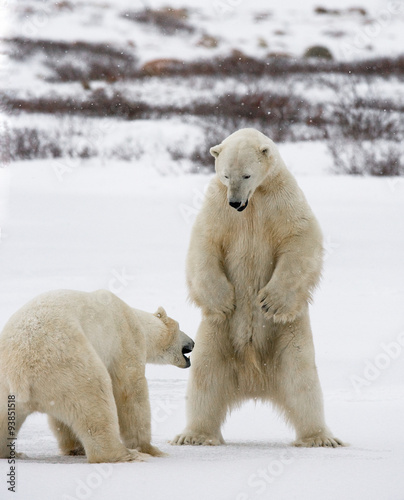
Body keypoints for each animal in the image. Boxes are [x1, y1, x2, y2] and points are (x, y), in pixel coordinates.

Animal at [0, 292, 194, 462]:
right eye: (180, 327)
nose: (193, 342)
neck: (137, 319)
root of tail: (19, 372)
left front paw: (75, 447)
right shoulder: (126, 339)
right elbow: (130, 390)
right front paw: (150, 448)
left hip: (7, 387)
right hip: (67, 366)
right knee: (95, 402)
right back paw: (126, 454)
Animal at [171, 129, 344, 450]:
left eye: (247, 175)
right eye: (226, 175)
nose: (235, 202)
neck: (254, 203)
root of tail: (254, 382)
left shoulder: (283, 200)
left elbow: (300, 238)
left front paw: (269, 301)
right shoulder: (216, 206)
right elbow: (204, 243)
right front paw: (224, 300)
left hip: (289, 335)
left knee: (303, 382)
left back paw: (320, 438)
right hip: (216, 334)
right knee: (205, 378)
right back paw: (194, 435)